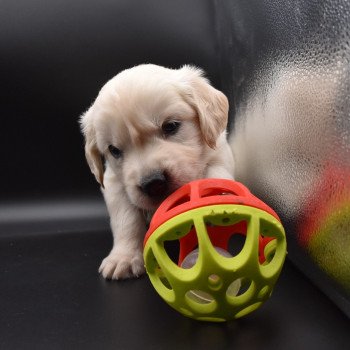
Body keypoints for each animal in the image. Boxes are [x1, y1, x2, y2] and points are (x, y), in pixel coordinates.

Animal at [80, 63, 234, 278]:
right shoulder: (114, 184)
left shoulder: (219, 153)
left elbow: (216, 176)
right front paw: (124, 258)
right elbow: (126, 220)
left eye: (170, 126)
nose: (154, 184)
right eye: (114, 150)